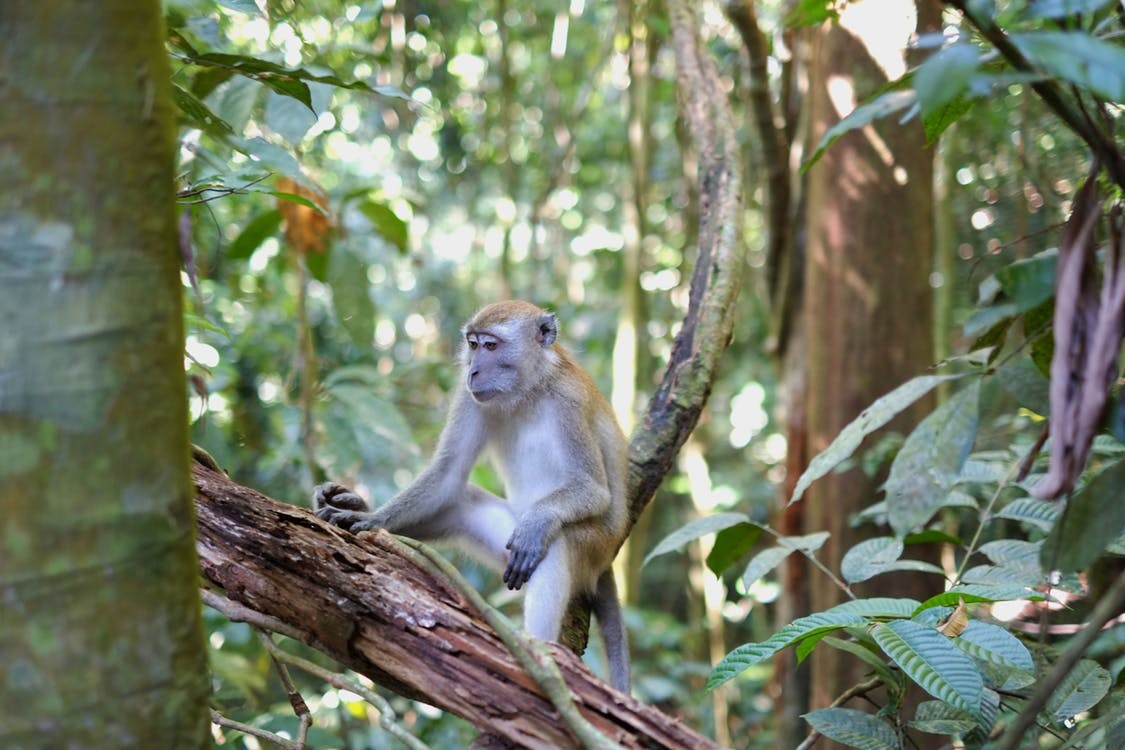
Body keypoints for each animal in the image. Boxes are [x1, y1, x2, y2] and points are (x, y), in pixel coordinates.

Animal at [317, 299, 634, 692]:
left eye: (491, 346)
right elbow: (447, 475)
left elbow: (592, 489)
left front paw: (538, 521)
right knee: (459, 504)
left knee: (555, 544)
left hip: (593, 548)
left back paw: (541, 651)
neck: (531, 388)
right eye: (473, 344)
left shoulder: (569, 402)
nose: (473, 371)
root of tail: (608, 559)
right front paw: (369, 516)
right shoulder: (469, 399)